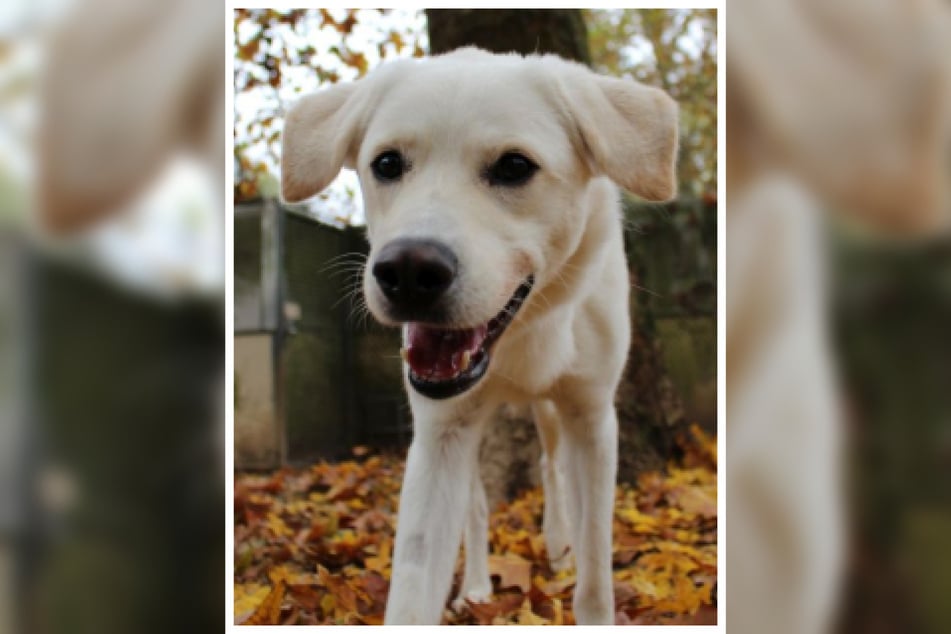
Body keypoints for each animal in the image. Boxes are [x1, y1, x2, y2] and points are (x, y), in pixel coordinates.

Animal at [278, 48, 680, 624]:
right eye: (386, 164)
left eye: (514, 166)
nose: (407, 273)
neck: (524, 332)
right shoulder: (441, 435)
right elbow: (415, 582)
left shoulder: (592, 419)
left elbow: (597, 569)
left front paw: (585, 582)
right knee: (479, 506)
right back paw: (475, 587)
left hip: (552, 416)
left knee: (551, 469)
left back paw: (558, 546)